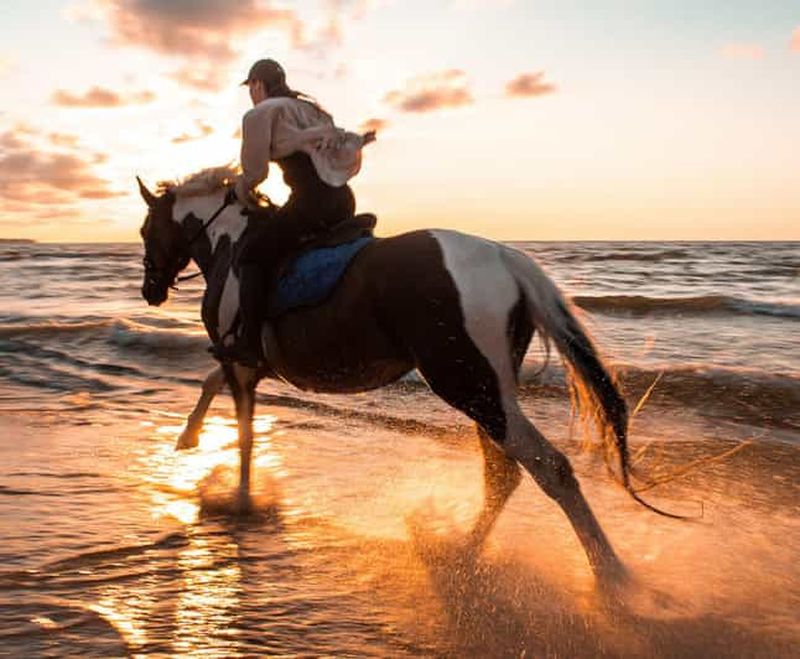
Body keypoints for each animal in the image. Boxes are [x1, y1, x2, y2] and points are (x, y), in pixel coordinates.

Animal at [137, 166, 668, 594]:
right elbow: (210, 384)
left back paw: (611, 576)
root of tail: (504, 259)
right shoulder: (250, 363)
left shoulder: (241, 361)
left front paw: (241, 501)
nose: (151, 291)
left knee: (547, 467)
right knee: (504, 473)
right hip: (485, 387)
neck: (231, 245)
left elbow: (244, 434)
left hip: (468, 384)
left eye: (146, 229)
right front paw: (188, 438)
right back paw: (462, 549)